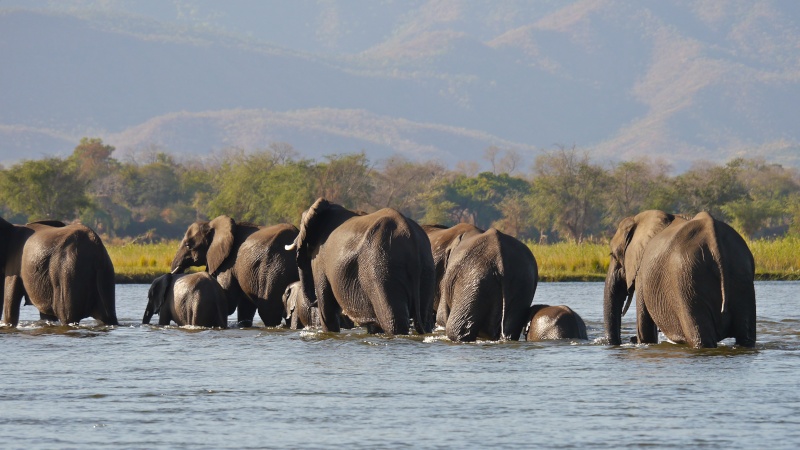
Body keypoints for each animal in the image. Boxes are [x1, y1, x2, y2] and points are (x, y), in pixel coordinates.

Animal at [170, 217, 298, 326]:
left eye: (188, 245)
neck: (211, 224)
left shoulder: (229, 264)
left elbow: (229, 301)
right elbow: (245, 307)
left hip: (273, 268)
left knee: (268, 310)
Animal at [284, 197, 434, 334]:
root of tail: (411, 236)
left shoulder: (320, 258)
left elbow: (327, 309)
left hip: (383, 270)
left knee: (393, 321)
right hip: (426, 269)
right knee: (425, 318)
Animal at [608, 210, 756, 348]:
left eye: (613, 255)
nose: (623, 341)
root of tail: (712, 238)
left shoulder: (642, 273)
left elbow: (645, 330)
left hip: (686, 282)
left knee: (701, 337)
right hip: (741, 273)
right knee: (746, 337)